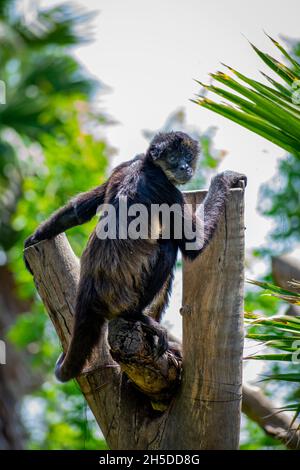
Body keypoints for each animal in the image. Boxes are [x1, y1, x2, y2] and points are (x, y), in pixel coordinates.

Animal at [24, 130, 246, 380]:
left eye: (187, 156)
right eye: (173, 158)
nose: (185, 167)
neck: (147, 165)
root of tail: (89, 288)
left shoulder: (127, 163)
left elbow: (79, 209)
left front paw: (33, 238)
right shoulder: (166, 188)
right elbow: (193, 244)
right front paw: (225, 179)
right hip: (126, 294)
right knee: (168, 246)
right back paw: (136, 316)